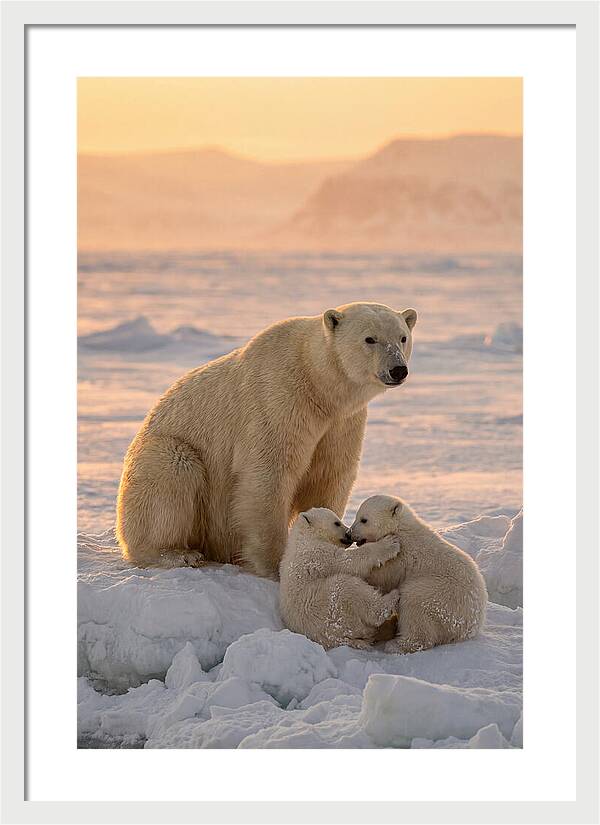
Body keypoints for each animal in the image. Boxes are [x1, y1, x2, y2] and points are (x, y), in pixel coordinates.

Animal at [116, 302, 417, 577]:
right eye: (370, 338)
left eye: (402, 337)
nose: (398, 370)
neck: (317, 384)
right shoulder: (279, 400)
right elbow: (269, 474)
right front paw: (276, 564)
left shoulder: (341, 422)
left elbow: (329, 474)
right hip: (163, 454)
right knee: (172, 473)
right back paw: (178, 553)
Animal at [279, 507, 402, 650]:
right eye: (337, 523)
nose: (348, 534)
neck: (304, 537)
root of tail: (340, 638)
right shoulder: (318, 554)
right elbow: (348, 561)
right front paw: (390, 543)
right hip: (329, 607)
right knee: (349, 589)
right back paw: (393, 597)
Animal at [350, 495, 488, 653]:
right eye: (357, 516)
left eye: (364, 519)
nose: (349, 533)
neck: (400, 528)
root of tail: (470, 627)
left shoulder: (400, 558)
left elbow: (381, 577)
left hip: (440, 596)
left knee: (414, 603)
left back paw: (396, 645)